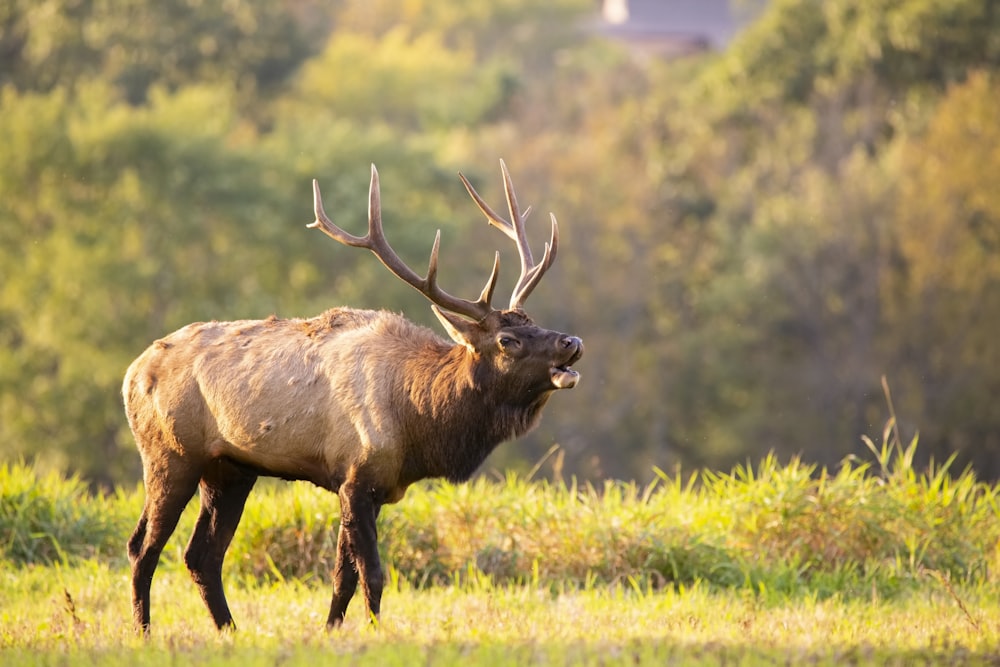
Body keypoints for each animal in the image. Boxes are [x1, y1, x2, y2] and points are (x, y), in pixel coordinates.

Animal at [122, 160, 584, 632]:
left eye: (534, 321)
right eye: (508, 340)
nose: (572, 342)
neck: (419, 422)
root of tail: (132, 373)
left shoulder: (371, 486)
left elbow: (343, 576)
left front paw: (331, 630)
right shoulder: (356, 476)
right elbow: (373, 573)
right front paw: (375, 632)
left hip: (229, 469)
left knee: (202, 555)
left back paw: (229, 630)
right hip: (170, 454)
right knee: (143, 547)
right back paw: (144, 631)